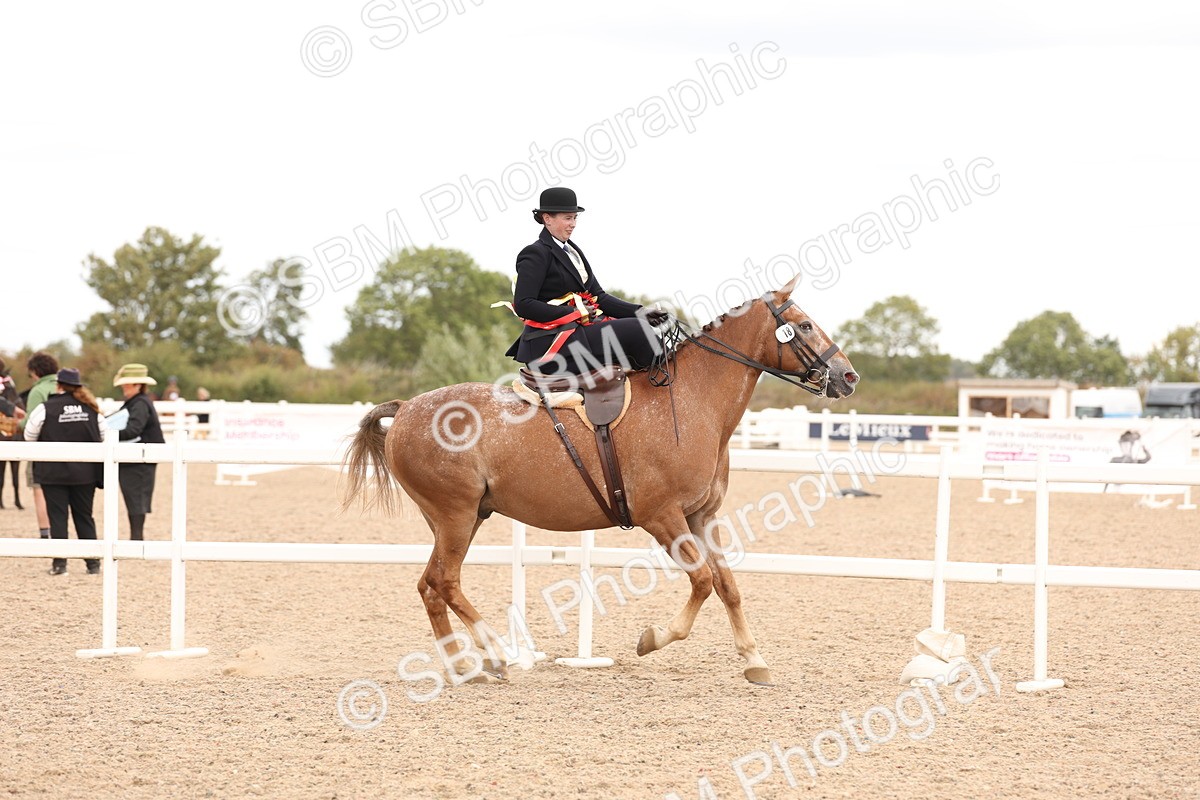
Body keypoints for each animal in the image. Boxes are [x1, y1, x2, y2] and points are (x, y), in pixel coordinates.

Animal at [341, 276, 858, 685]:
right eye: (805, 325)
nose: (848, 376)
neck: (696, 400)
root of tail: (407, 407)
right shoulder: (662, 517)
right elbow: (702, 581)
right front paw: (652, 639)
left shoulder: (702, 515)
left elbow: (727, 584)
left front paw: (754, 661)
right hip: (455, 515)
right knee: (445, 582)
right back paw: (495, 653)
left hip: (461, 519)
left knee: (431, 585)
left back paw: (463, 666)